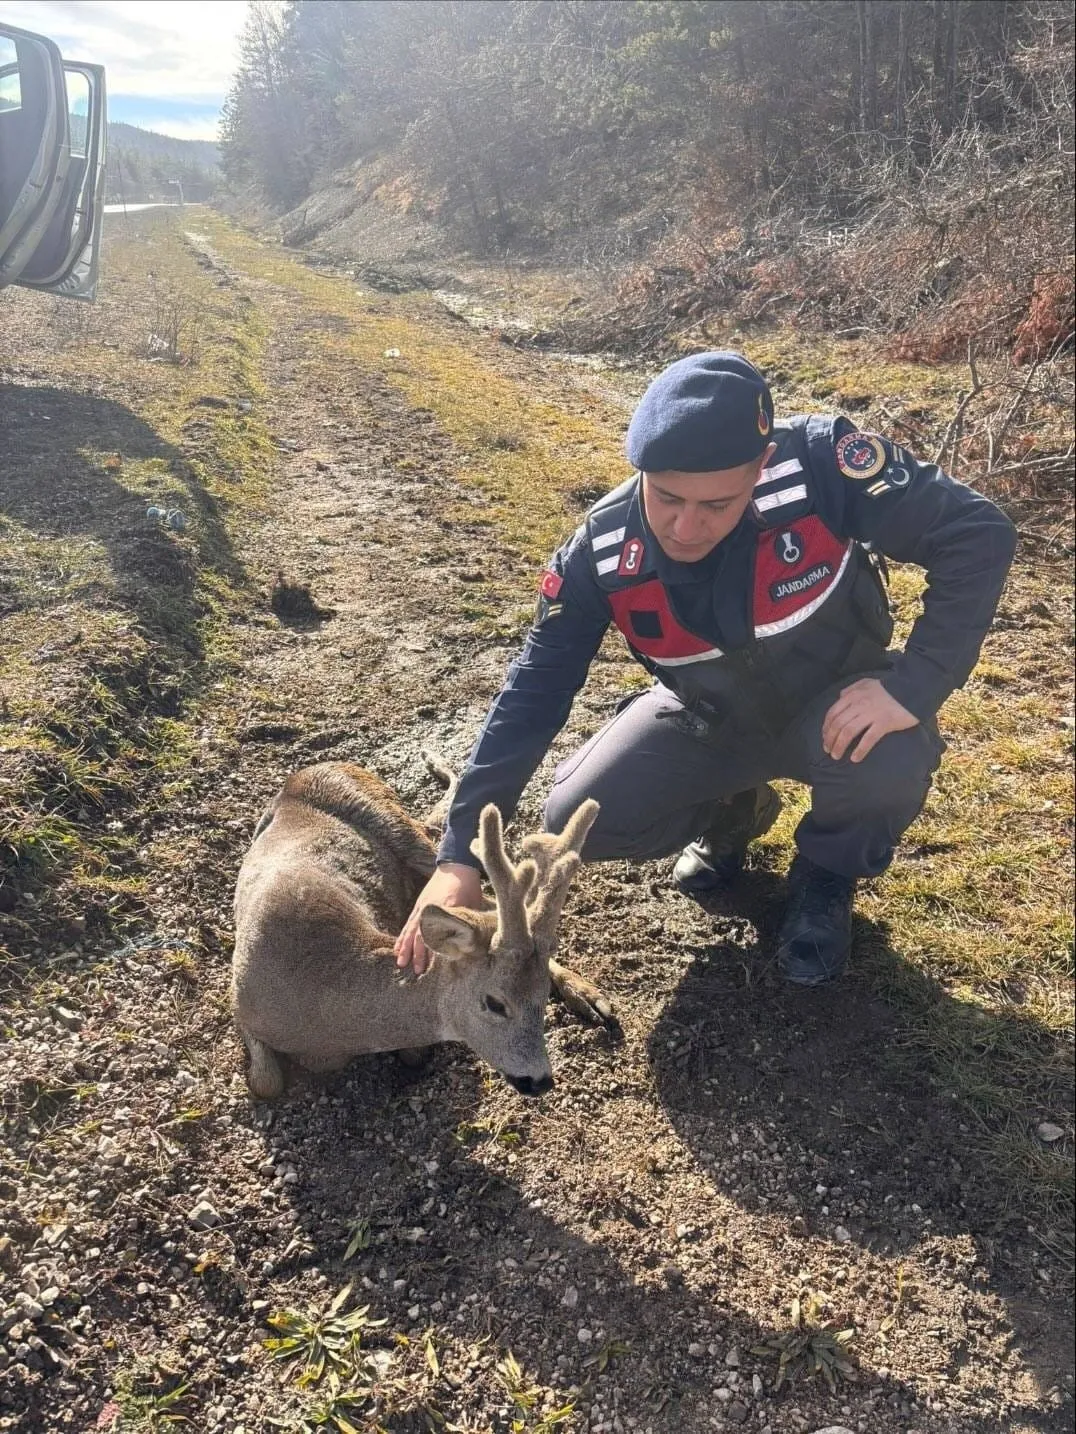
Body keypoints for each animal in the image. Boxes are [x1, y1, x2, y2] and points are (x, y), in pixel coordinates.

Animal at [230, 762, 611, 1095]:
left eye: (542, 997)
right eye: (494, 1003)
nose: (540, 1080)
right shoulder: (239, 998)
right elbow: (265, 1082)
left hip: (404, 831)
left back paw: (589, 996)